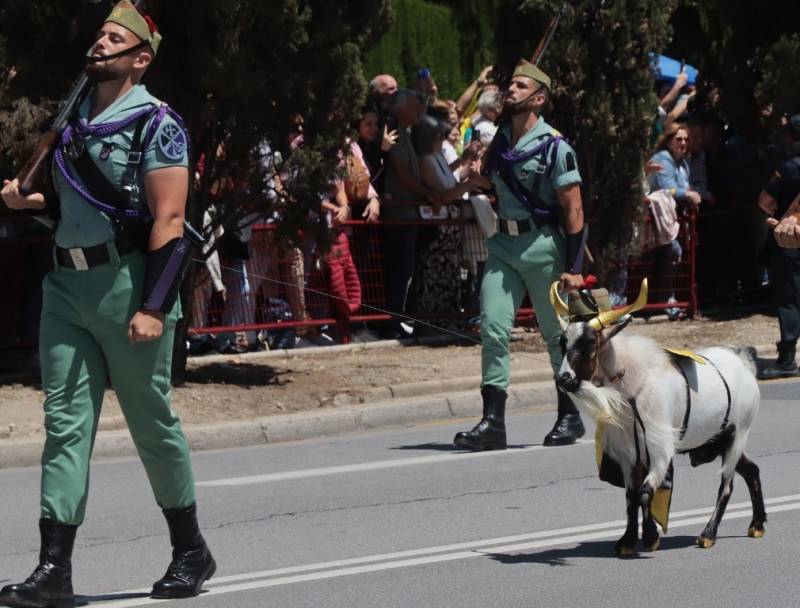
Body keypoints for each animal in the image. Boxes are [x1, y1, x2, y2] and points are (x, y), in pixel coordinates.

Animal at [550, 280, 766, 556]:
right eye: (563, 342)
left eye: (588, 342)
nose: (564, 379)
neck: (634, 384)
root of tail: (744, 362)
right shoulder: (627, 454)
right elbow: (631, 497)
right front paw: (627, 541)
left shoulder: (659, 449)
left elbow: (645, 493)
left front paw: (651, 538)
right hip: (720, 439)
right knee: (752, 470)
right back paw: (757, 525)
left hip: (738, 435)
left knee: (726, 486)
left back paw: (708, 534)